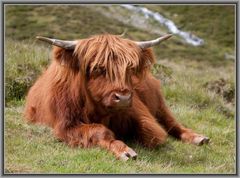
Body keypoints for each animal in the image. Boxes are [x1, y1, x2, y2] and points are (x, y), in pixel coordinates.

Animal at [23, 33, 209, 160]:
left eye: (130, 68)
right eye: (98, 68)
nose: (124, 98)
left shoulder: (140, 112)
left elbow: (151, 131)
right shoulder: (65, 125)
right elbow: (99, 130)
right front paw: (124, 150)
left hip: (159, 104)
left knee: (172, 123)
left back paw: (198, 138)